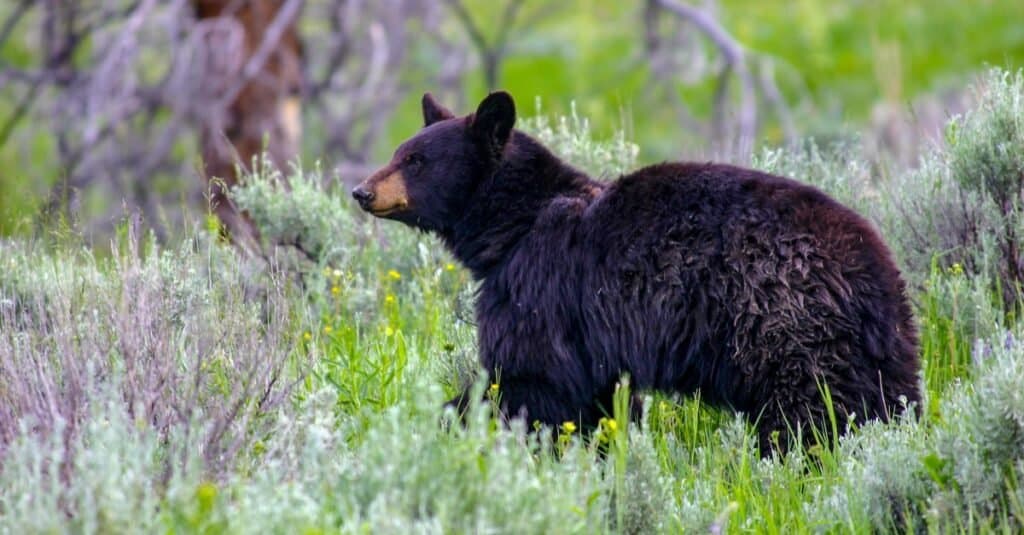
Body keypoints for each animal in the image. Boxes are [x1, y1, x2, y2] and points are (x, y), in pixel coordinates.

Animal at [352, 90, 921, 448]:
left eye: (416, 160)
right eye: (400, 152)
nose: (361, 190)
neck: (516, 225)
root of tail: (875, 269)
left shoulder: (540, 289)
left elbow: (531, 379)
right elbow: (594, 400)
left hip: (782, 322)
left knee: (810, 409)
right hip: (875, 346)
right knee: (883, 398)